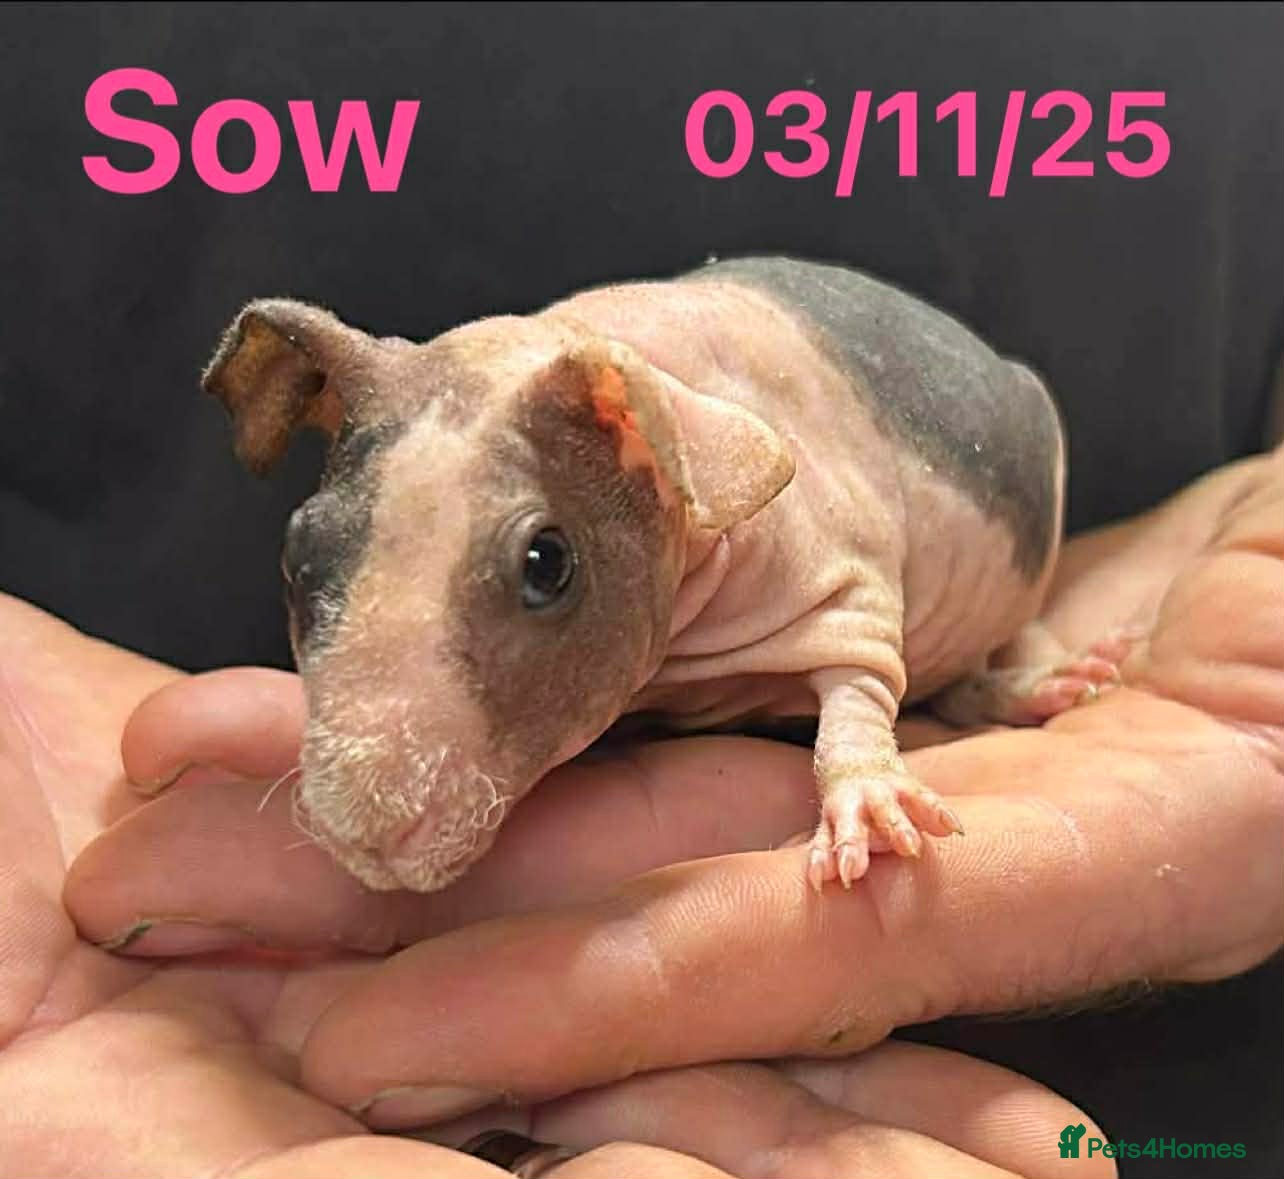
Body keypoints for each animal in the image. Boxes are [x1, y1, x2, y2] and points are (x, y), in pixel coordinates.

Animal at [203, 256, 1121, 894]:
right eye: (297, 558)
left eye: (547, 563)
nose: (363, 832)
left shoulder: (830, 561)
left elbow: (861, 675)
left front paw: (865, 797)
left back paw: (1033, 682)